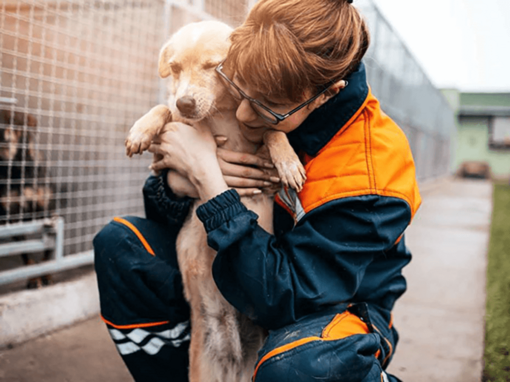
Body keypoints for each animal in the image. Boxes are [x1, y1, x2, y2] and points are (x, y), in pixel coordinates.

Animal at [125, 20, 304, 382]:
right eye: (175, 68)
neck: (221, 114)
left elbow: (273, 132)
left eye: (213, 66)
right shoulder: (176, 126)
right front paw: (141, 130)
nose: (186, 103)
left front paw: (288, 161)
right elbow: (163, 108)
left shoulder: (259, 136)